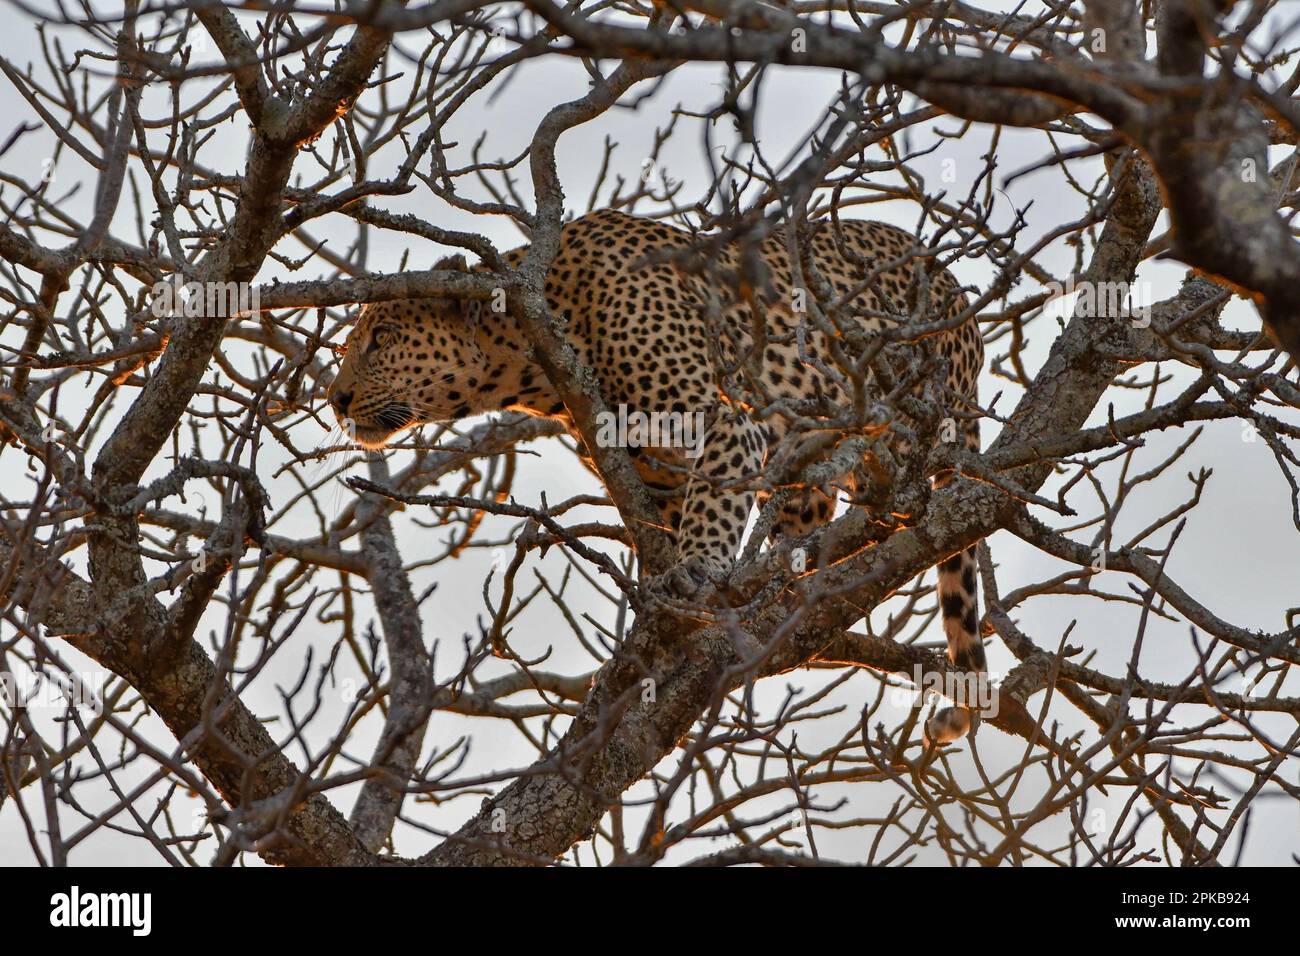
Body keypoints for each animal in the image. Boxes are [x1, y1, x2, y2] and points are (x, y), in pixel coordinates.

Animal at [325, 209, 982, 743]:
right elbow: (667, 533)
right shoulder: (655, 475)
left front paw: (696, 574)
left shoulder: (720, 420)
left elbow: (710, 509)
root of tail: (953, 287)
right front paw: (661, 638)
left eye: (381, 338)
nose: (336, 399)